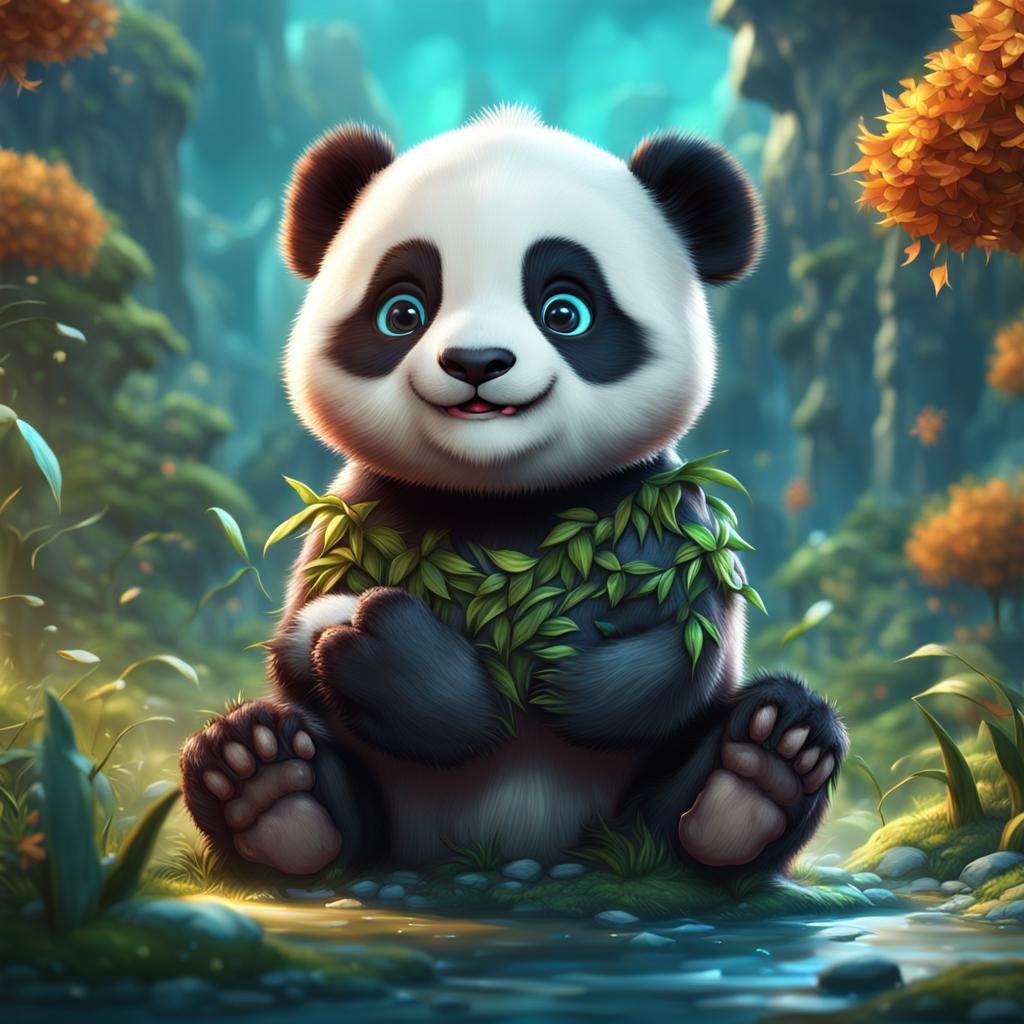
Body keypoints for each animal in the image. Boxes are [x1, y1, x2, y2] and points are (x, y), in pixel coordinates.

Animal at [180, 106, 846, 878]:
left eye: (565, 311)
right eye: (402, 312)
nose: (476, 363)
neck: (504, 498)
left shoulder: (660, 510)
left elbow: (692, 645)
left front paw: (559, 673)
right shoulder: (359, 518)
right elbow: (299, 646)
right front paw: (386, 648)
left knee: (709, 779)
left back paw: (757, 776)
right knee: (305, 772)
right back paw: (267, 788)